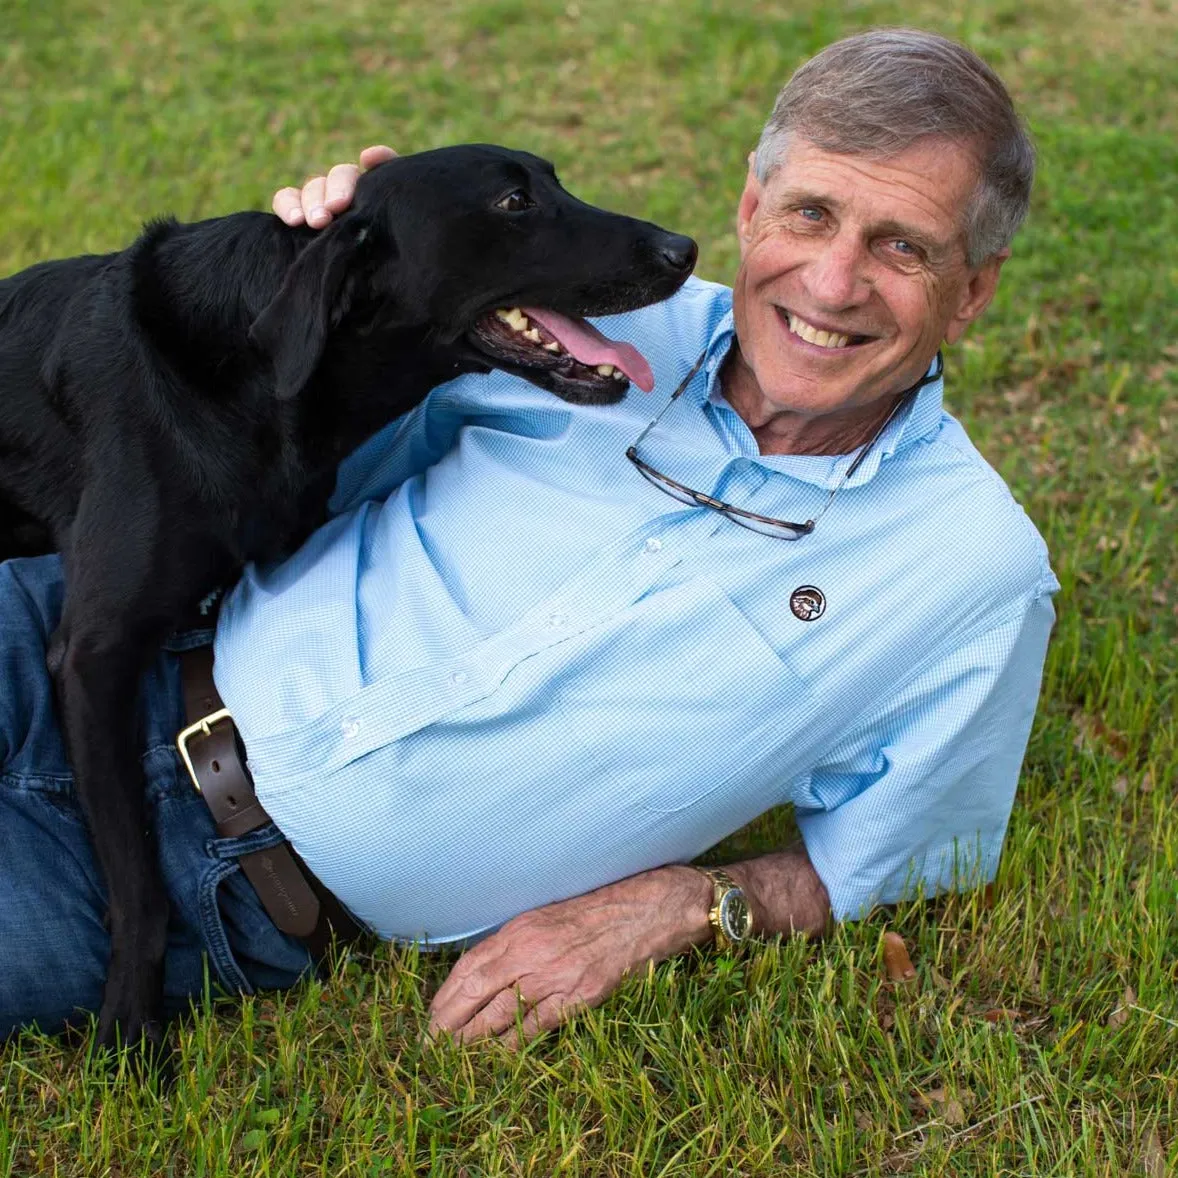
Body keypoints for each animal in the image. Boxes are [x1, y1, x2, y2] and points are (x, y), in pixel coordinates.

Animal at [0, 142, 697, 1055]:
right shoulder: (92, 654)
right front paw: (129, 1033)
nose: (684, 249)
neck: (253, 376)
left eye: (554, 182)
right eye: (512, 202)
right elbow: (138, 879)